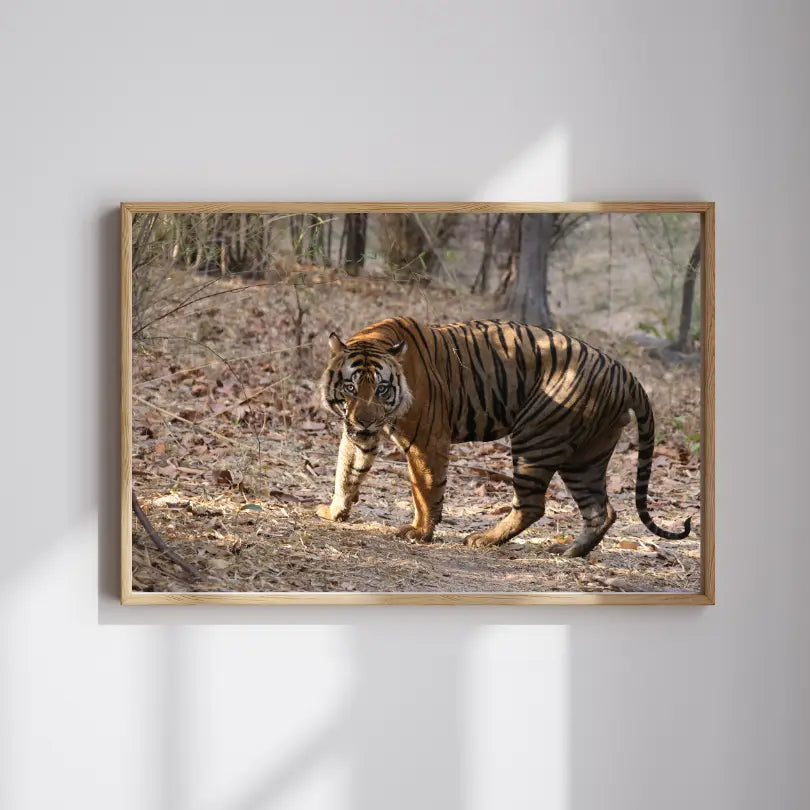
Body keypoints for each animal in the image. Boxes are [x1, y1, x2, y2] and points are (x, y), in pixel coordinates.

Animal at [317, 316, 691, 557]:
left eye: (382, 389)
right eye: (350, 388)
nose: (365, 421)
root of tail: (624, 372)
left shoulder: (426, 441)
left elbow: (424, 490)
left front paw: (420, 532)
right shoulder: (359, 434)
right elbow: (346, 472)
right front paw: (334, 511)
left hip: (535, 437)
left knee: (532, 505)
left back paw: (484, 539)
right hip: (586, 457)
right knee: (601, 509)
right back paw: (569, 551)